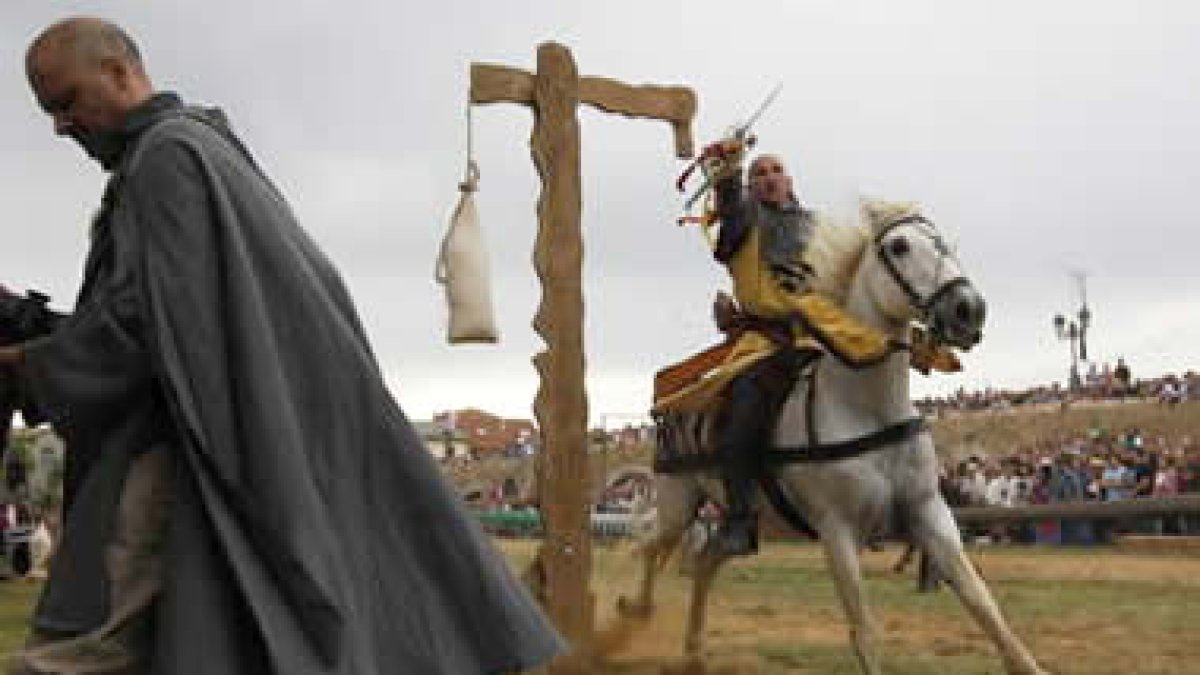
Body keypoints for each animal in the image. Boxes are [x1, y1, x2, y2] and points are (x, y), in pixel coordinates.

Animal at [624, 200, 1046, 672]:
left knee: (705, 561)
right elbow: (864, 631)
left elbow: (982, 603)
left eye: (943, 241)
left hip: (740, 521)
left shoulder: (929, 512)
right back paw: (633, 613)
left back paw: (693, 650)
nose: (968, 309)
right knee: (652, 546)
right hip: (678, 502)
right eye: (899, 246)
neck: (868, 408)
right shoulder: (837, 530)